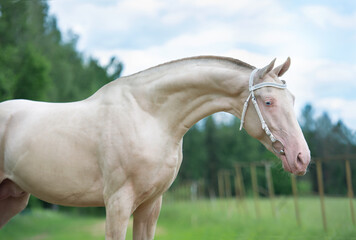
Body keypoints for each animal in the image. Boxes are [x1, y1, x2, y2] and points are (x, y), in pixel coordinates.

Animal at [0, 55, 310, 238]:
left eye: (293, 99)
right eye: (268, 101)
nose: (302, 158)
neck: (150, 116)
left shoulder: (151, 205)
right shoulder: (117, 203)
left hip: (13, 198)